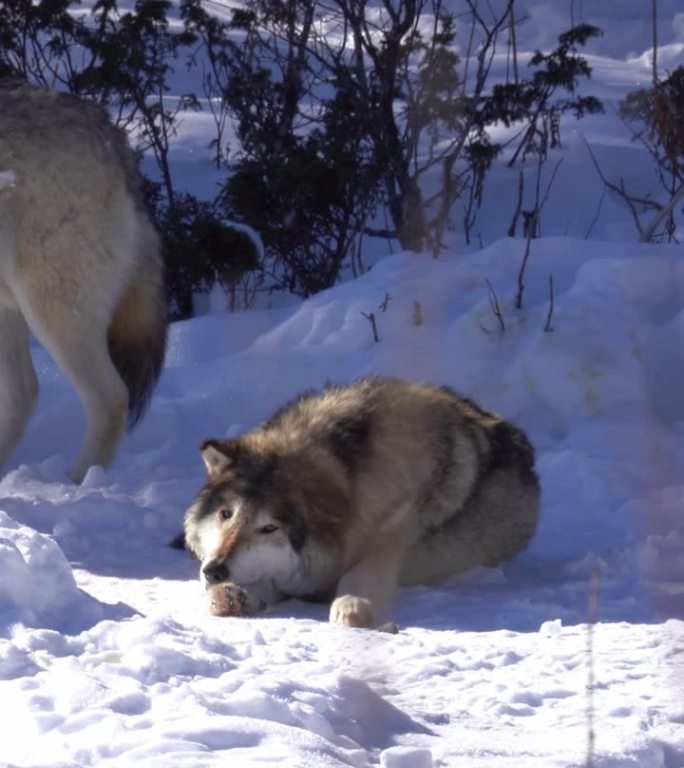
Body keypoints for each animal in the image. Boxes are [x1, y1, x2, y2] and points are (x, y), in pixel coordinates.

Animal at [184, 378, 544, 632]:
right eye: (226, 514)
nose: (214, 570)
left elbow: (357, 577)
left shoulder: (392, 532)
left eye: (269, 527)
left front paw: (349, 606)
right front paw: (231, 595)